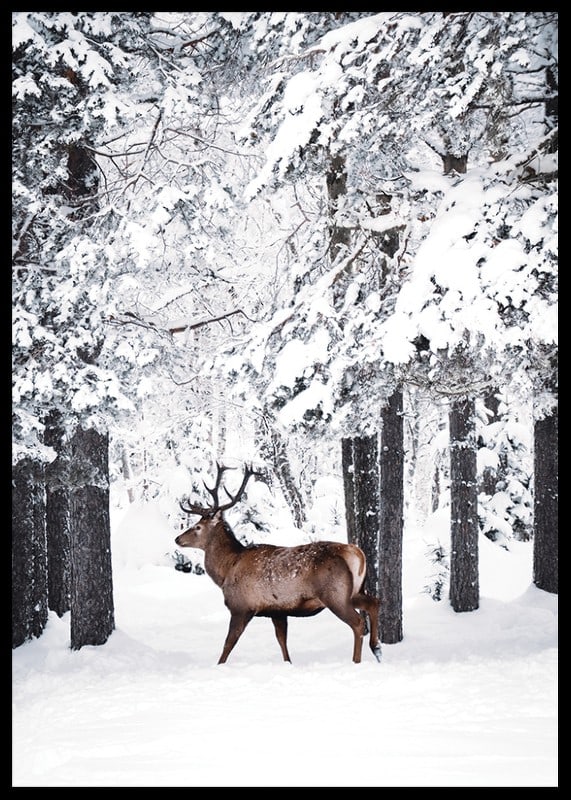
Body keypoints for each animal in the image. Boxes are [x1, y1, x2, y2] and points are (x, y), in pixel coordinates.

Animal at [175, 463, 382, 665]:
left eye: (197, 527)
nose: (177, 539)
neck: (226, 570)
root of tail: (356, 553)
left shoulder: (241, 606)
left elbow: (228, 643)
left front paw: (219, 665)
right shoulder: (277, 611)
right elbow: (282, 640)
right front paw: (288, 663)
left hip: (335, 594)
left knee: (358, 622)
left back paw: (357, 660)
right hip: (354, 590)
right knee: (374, 602)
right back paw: (377, 649)